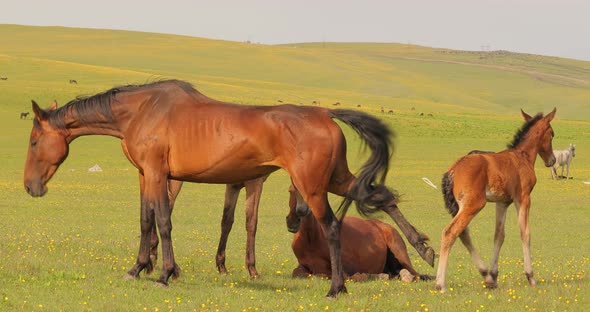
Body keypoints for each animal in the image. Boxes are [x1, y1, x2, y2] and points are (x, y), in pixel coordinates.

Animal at [286, 184, 434, 282]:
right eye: (290, 191)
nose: (292, 221)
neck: (311, 239)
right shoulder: (303, 266)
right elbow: (298, 273)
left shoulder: (343, 268)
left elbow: (347, 276)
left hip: (399, 251)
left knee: (414, 274)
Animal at [440, 108, 560, 292]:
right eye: (552, 134)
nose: (551, 160)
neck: (522, 156)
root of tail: (452, 170)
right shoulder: (523, 198)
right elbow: (525, 233)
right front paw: (531, 276)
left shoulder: (502, 203)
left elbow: (499, 235)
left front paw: (494, 275)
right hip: (473, 205)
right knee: (450, 232)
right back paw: (441, 284)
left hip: (460, 207)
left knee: (463, 234)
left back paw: (486, 276)